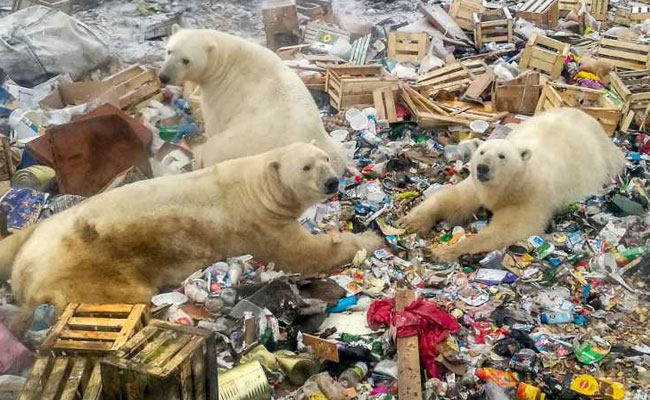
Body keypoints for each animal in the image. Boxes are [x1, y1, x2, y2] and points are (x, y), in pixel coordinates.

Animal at [0, 143, 382, 333]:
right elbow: (303, 253)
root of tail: (24, 275)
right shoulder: (258, 225)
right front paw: (371, 241)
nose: (332, 181)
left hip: (37, 233)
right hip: (87, 267)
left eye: (326, 158)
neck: (257, 188)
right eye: (306, 167)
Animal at [158, 25, 347, 174]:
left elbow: (213, 124)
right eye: (169, 50)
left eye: (186, 60)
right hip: (331, 145)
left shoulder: (221, 92)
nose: (164, 76)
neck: (225, 59)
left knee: (215, 150)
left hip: (239, 145)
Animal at [399, 108, 626, 261]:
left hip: (604, 158)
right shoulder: (477, 187)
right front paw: (411, 222)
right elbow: (451, 200)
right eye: (482, 152)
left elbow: (507, 229)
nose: (482, 168)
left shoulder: (528, 197)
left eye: (502, 156)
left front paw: (442, 251)